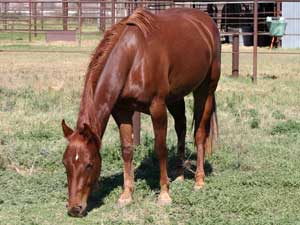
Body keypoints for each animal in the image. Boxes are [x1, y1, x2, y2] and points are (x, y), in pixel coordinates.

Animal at [61, 7, 220, 217]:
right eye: (65, 163)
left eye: (89, 164)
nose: (74, 208)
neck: (134, 57)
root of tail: (207, 22)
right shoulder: (122, 111)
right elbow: (127, 150)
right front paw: (126, 194)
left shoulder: (157, 107)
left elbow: (160, 148)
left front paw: (164, 194)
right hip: (175, 97)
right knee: (181, 127)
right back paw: (179, 176)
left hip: (205, 90)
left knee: (200, 133)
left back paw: (199, 181)